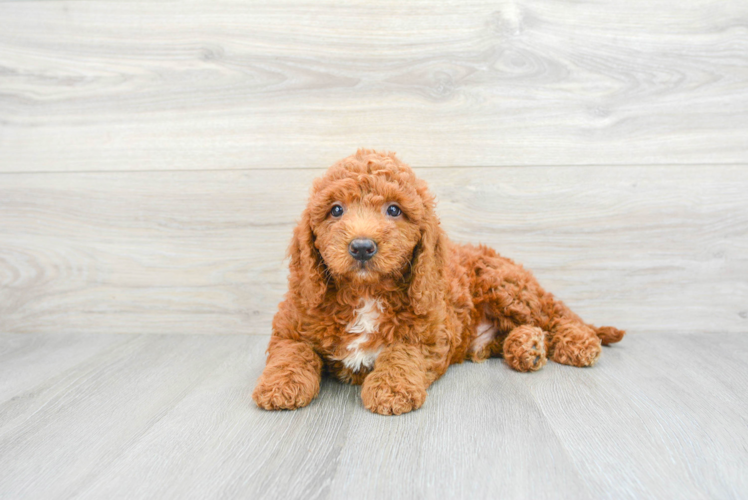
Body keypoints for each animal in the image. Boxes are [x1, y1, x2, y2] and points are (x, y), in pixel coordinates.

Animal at [253, 148, 624, 414]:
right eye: (335, 210)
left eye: (394, 210)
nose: (361, 247)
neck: (366, 292)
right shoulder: (293, 319)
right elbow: (292, 351)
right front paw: (280, 386)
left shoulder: (430, 331)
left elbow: (402, 352)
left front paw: (391, 389)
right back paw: (526, 347)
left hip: (505, 287)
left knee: (557, 314)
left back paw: (578, 342)